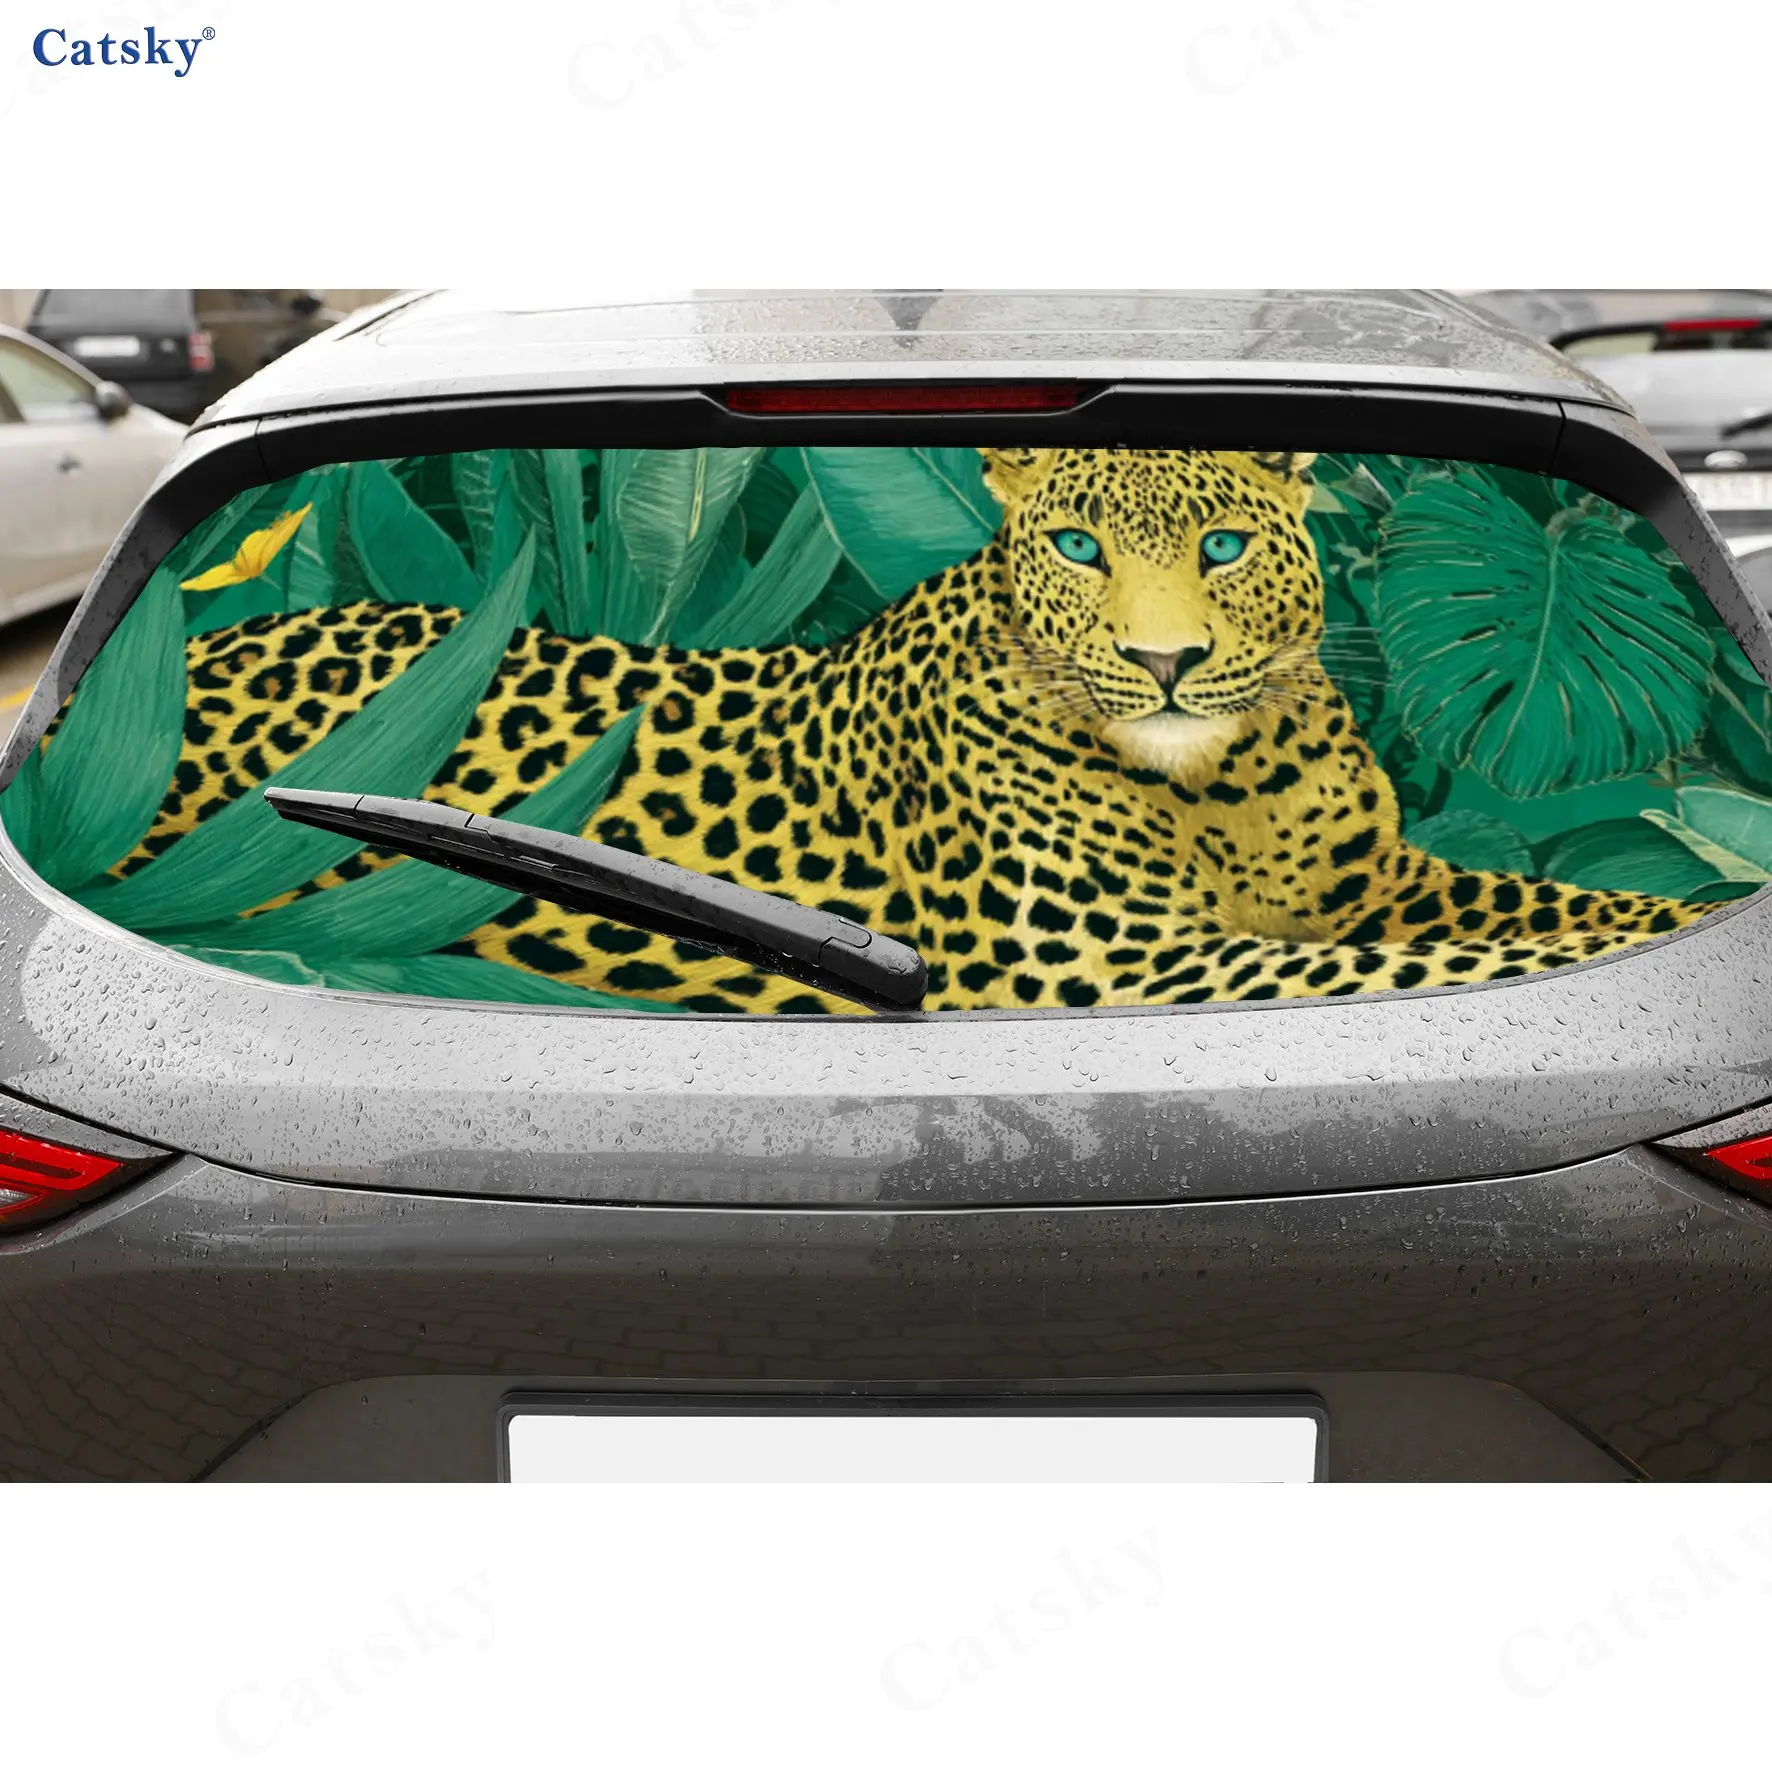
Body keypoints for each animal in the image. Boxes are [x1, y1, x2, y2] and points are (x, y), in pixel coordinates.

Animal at [132, 446, 1713, 1014]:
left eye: (1218, 543)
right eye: (1075, 544)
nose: (1167, 661)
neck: (1224, 789)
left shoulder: (1381, 886)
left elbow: (1546, 910)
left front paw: (1689, 927)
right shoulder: (1125, 968)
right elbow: (1454, 957)